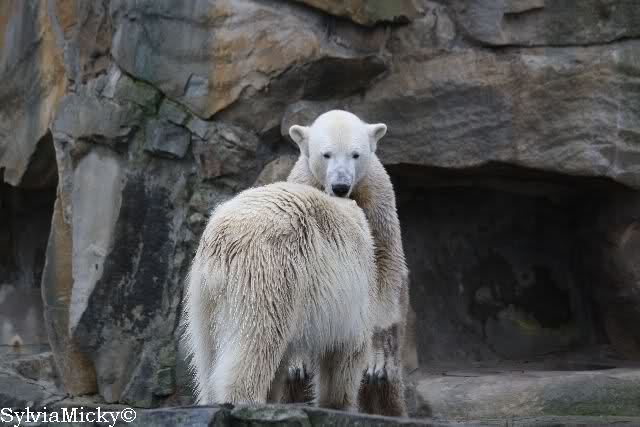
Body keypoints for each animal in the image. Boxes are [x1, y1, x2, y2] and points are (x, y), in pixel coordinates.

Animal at [182, 182, 385, 410]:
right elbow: (348, 350)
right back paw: (246, 399)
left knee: (206, 350)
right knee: (260, 337)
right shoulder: (357, 291)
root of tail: (224, 239)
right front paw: (337, 404)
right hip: (270, 272)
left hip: (202, 294)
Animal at [286, 110, 410, 416]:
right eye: (326, 154)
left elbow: (383, 265)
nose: (341, 186)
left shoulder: (375, 201)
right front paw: (298, 361)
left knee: (386, 389)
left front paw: (375, 362)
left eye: (355, 154)